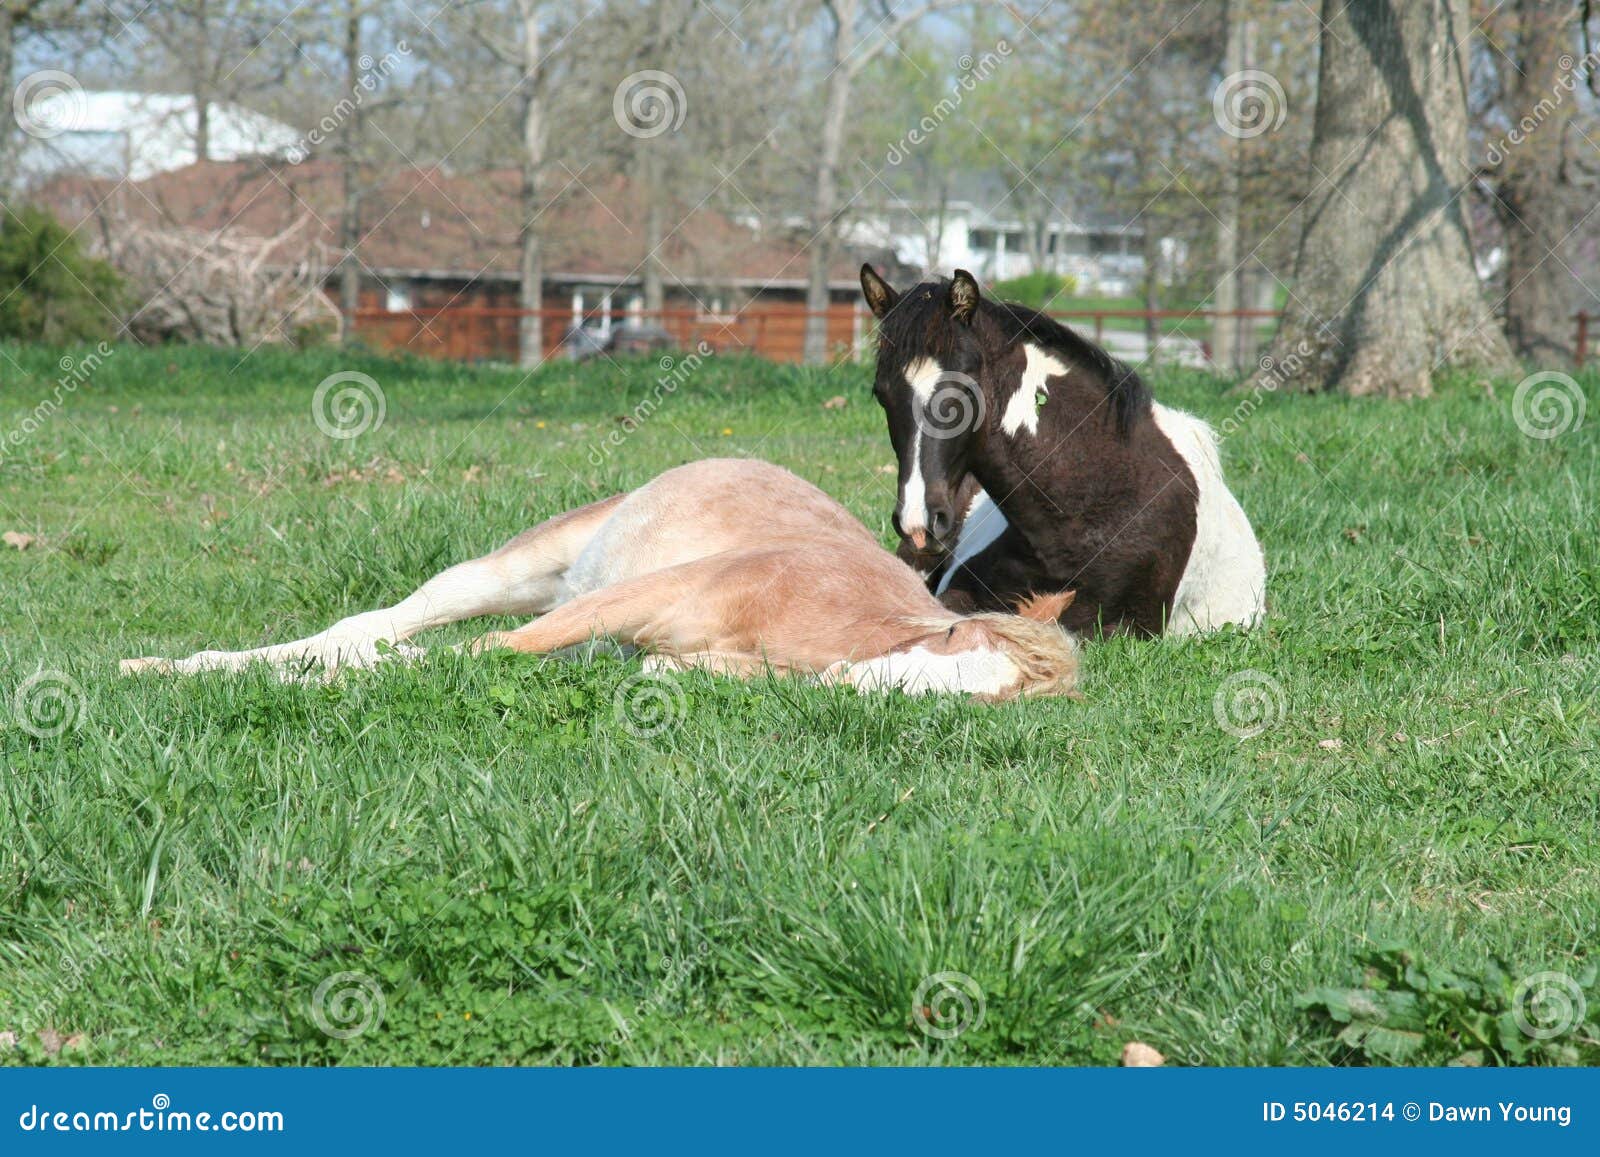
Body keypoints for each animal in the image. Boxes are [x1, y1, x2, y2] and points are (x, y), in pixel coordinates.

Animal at [121, 458, 1080, 700]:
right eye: (953, 634)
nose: (860, 687)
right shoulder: (644, 597)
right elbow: (485, 656)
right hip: (529, 567)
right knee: (382, 622)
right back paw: (168, 668)